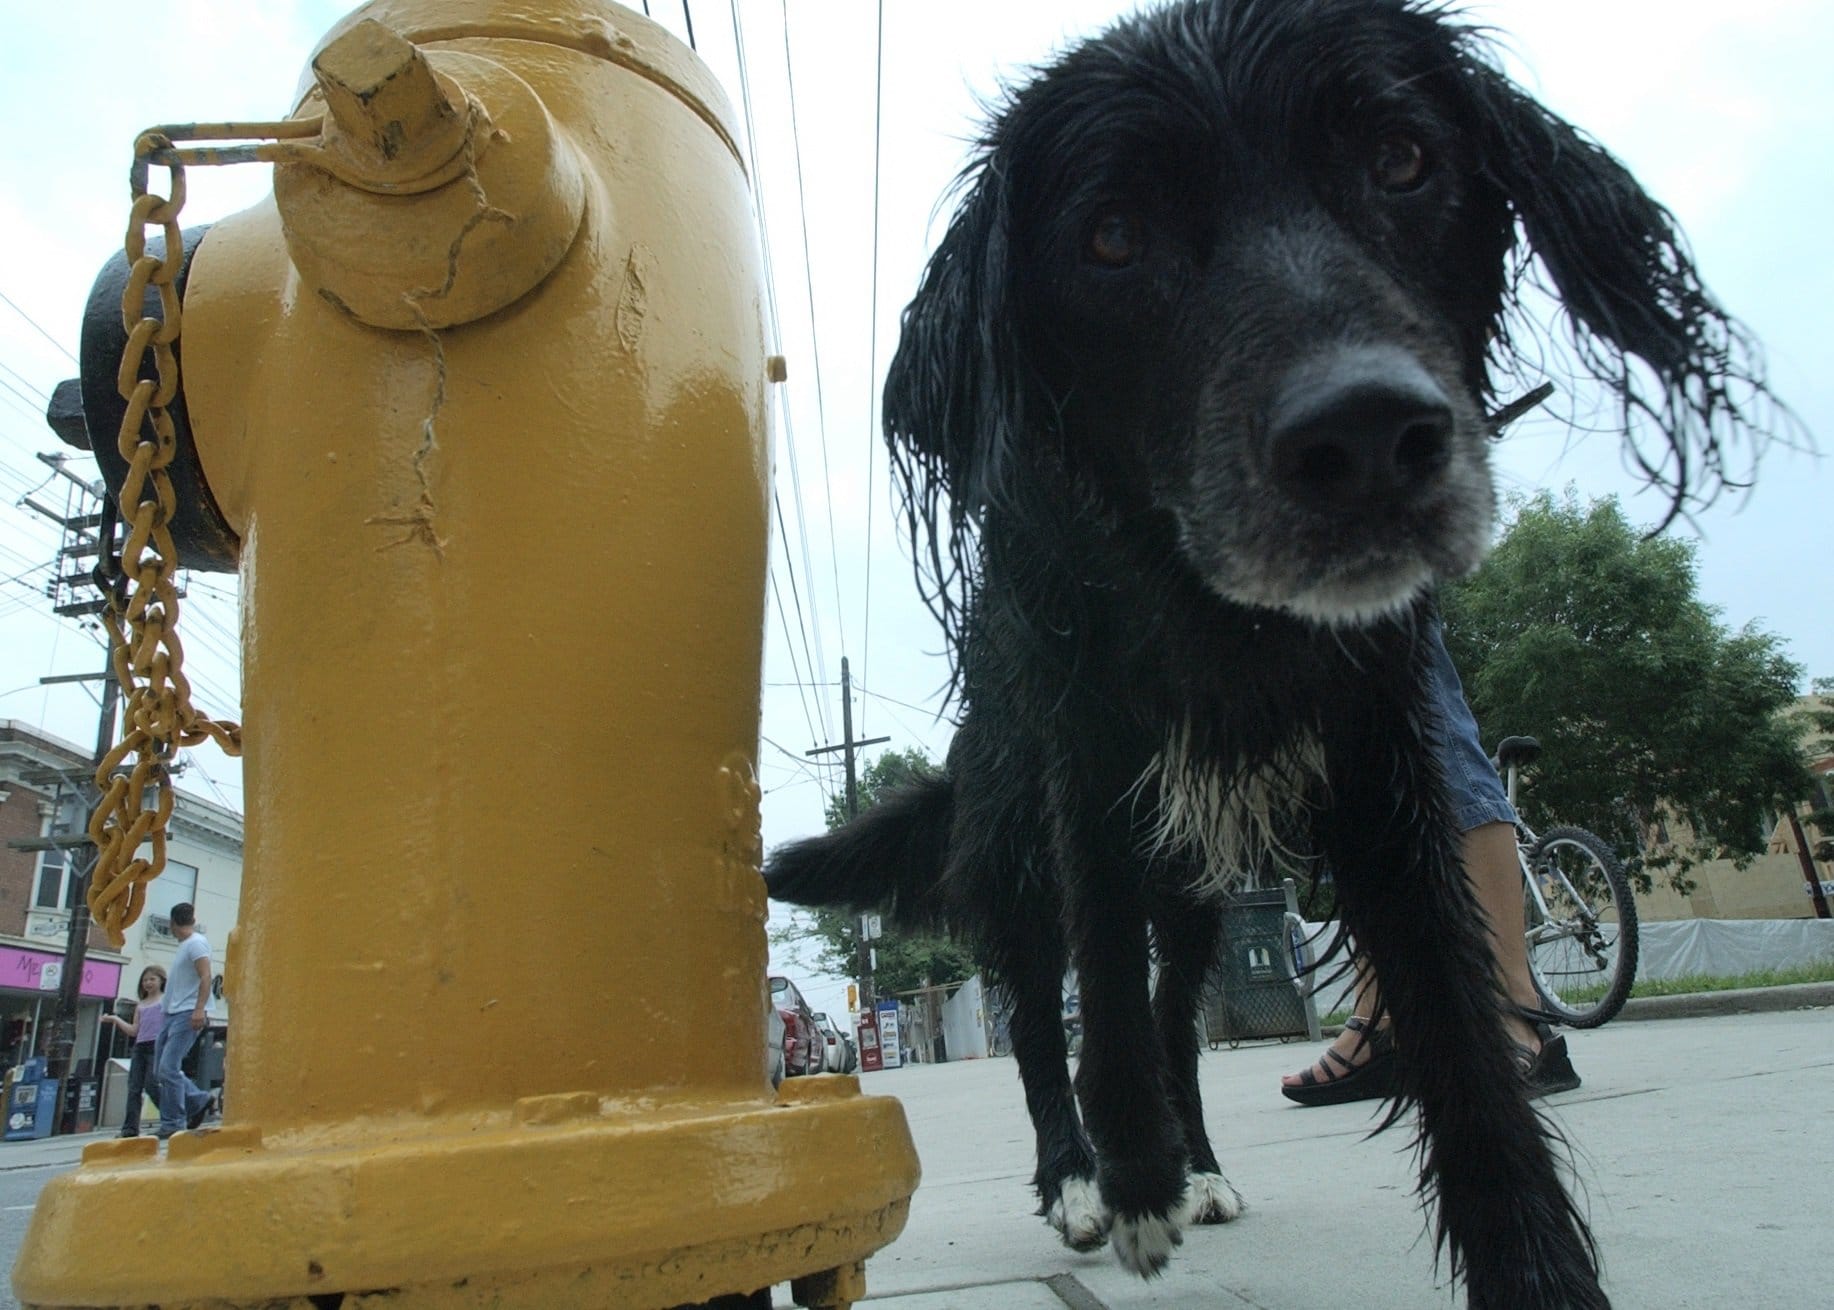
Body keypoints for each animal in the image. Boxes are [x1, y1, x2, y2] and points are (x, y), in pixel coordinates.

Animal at [762, 5, 1775, 1298]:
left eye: (1401, 159)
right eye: (1111, 235)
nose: (1368, 435)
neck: (1215, 615)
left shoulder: (1383, 757)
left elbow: (1456, 1037)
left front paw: (1532, 1263)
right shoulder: (1084, 761)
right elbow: (1100, 991)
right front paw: (1126, 1171)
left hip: (1198, 887)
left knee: (1174, 1012)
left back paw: (1193, 1166)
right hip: (1022, 849)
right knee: (1043, 1023)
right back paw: (1084, 1182)